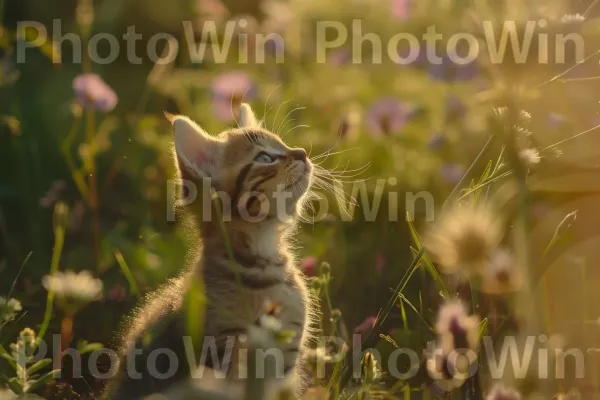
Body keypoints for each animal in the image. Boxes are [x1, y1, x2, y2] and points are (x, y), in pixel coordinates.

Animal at [103, 104, 316, 400]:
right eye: (264, 157)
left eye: (282, 144)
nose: (302, 153)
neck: (263, 265)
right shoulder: (225, 355)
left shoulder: (285, 360)